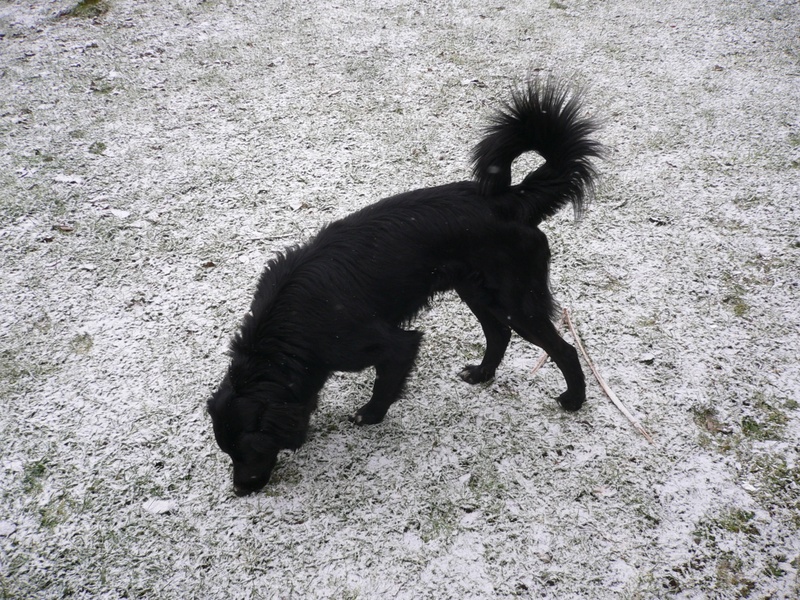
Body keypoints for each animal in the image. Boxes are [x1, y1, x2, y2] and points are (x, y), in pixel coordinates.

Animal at [206, 79, 600, 494]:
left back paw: (573, 399)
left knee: (563, 348)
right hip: (476, 291)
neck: (286, 336)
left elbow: (386, 383)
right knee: (499, 333)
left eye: (248, 448)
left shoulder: (391, 344)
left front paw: (370, 415)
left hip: (516, 299)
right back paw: (481, 374)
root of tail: (513, 200)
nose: (240, 489)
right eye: (227, 451)